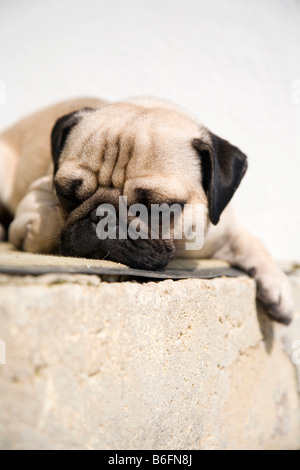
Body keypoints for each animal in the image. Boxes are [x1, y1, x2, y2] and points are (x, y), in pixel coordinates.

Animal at [0, 95, 292, 324]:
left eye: (155, 206)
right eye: (66, 194)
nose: (102, 214)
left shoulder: (224, 229)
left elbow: (252, 243)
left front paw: (278, 286)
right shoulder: (38, 191)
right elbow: (40, 218)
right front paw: (33, 230)